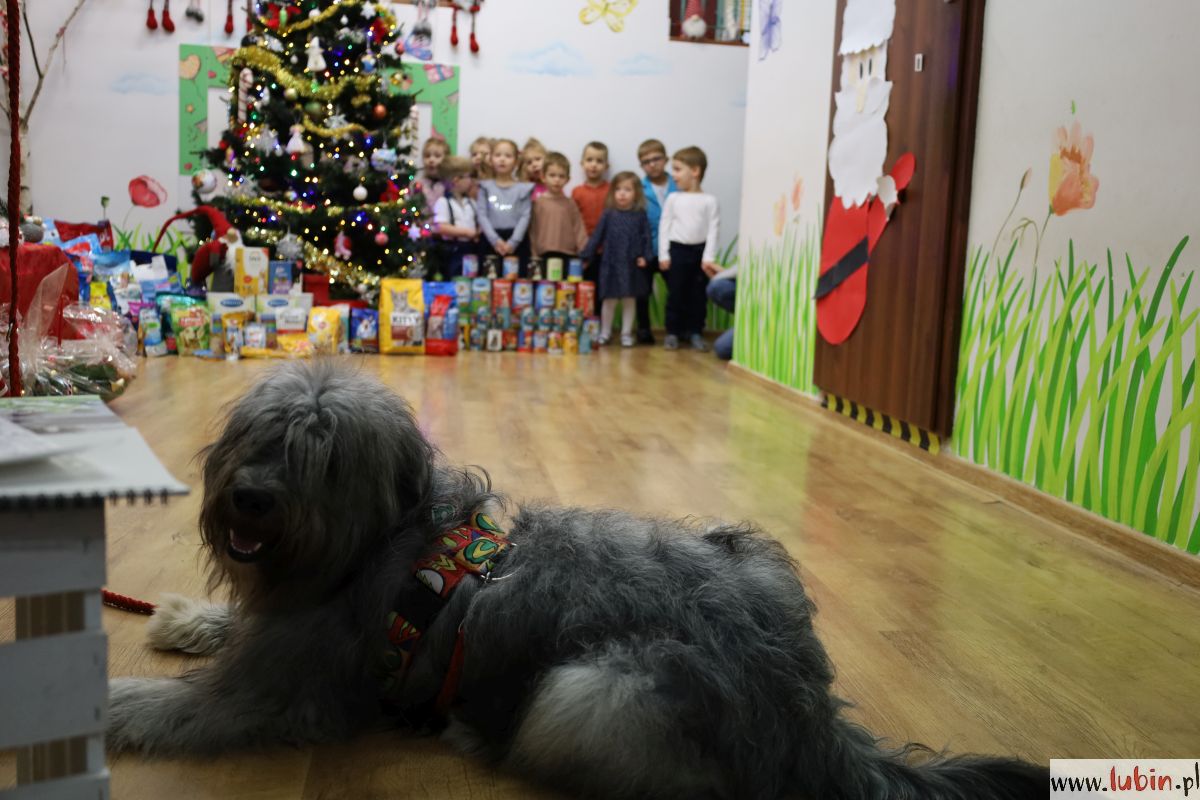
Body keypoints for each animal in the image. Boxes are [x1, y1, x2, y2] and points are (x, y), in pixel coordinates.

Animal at [112, 364, 1051, 800]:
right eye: (263, 431)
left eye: (325, 453)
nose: (251, 498)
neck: (377, 539)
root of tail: (815, 716)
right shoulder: (277, 628)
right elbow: (231, 626)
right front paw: (182, 617)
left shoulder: (281, 689)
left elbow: (176, 705)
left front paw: (115, 700)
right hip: (747, 547)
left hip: (589, 690)